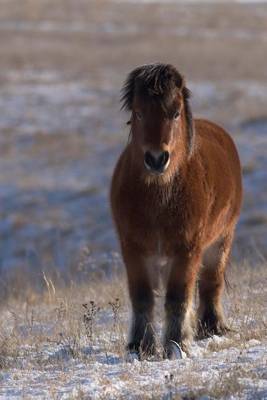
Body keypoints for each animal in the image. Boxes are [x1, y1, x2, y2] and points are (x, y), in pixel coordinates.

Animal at [110, 63, 244, 360]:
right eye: (138, 112)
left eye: (175, 113)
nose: (156, 159)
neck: (160, 198)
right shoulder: (133, 248)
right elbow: (142, 297)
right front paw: (141, 347)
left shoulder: (187, 249)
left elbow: (178, 297)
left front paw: (175, 345)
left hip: (222, 240)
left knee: (210, 283)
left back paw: (211, 328)